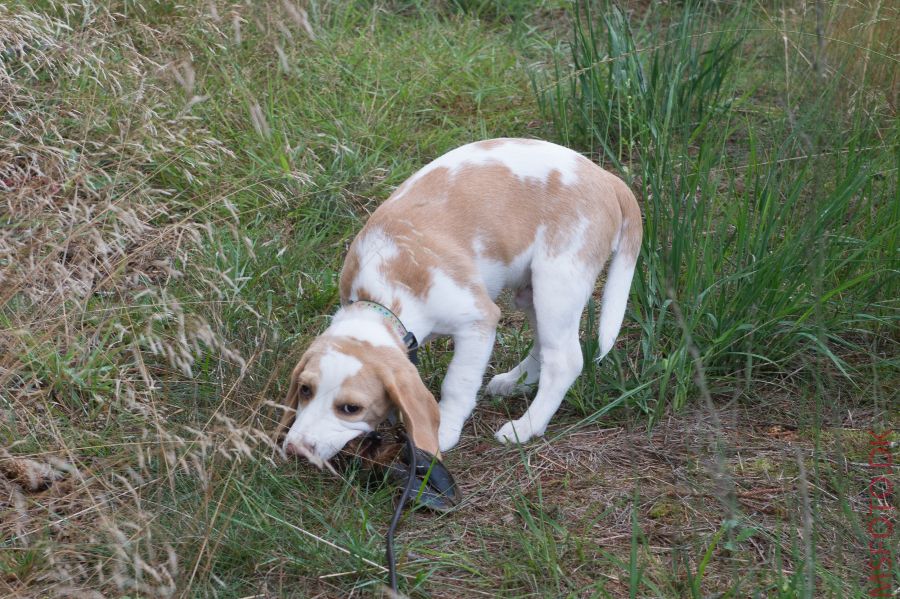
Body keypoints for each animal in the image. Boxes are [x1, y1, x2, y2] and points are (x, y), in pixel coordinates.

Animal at [274, 139, 640, 464]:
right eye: (305, 390)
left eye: (351, 408)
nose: (296, 450)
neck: (383, 298)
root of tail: (605, 178)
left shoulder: (479, 321)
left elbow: (457, 382)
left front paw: (444, 430)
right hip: (532, 292)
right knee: (545, 346)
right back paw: (515, 382)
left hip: (557, 283)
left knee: (565, 360)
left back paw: (526, 427)